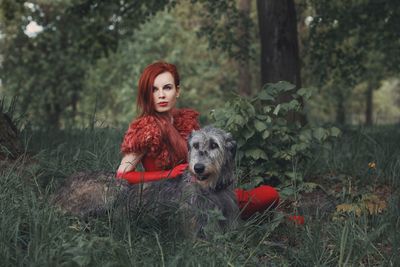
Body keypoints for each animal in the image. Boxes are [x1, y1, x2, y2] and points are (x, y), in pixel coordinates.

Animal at [53, 127, 241, 239]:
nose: (198, 168)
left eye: (214, 145)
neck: (212, 190)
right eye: (195, 145)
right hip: (115, 188)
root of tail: (60, 190)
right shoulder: (194, 230)